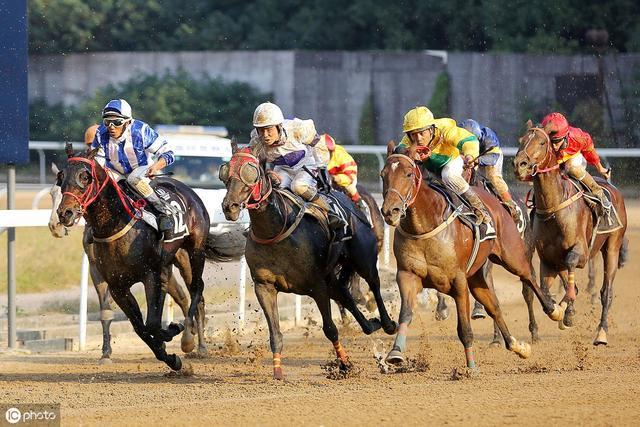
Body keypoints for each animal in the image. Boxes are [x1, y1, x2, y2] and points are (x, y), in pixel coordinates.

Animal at [56, 145, 209, 372]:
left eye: (85, 176)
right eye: (60, 177)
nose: (65, 213)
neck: (116, 224)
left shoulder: (152, 275)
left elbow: (152, 323)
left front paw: (173, 331)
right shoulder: (117, 286)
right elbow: (140, 328)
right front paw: (170, 357)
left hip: (195, 250)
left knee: (197, 288)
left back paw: (190, 340)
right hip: (175, 258)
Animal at [222, 145, 398, 382]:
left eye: (251, 172)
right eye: (224, 172)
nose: (229, 206)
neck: (276, 230)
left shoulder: (317, 286)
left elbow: (330, 329)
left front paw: (345, 364)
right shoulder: (264, 286)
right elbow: (275, 333)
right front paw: (278, 371)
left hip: (363, 260)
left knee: (374, 285)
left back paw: (387, 323)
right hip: (333, 277)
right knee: (347, 297)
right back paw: (371, 324)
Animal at [378, 142, 564, 370]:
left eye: (408, 173)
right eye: (383, 174)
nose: (391, 211)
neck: (424, 224)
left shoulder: (458, 280)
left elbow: (464, 329)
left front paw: (472, 367)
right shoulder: (407, 275)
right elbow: (405, 313)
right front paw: (395, 352)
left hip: (513, 256)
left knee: (528, 277)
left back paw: (554, 310)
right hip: (477, 277)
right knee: (495, 307)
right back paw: (517, 346)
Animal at [512, 118, 628, 346]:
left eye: (542, 142)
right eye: (521, 140)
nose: (520, 164)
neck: (554, 209)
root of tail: (612, 188)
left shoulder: (581, 252)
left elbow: (572, 266)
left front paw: (568, 311)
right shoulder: (547, 259)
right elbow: (546, 288)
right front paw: (558, 310)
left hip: (612, 246)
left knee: (606, 291)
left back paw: (601, 333)